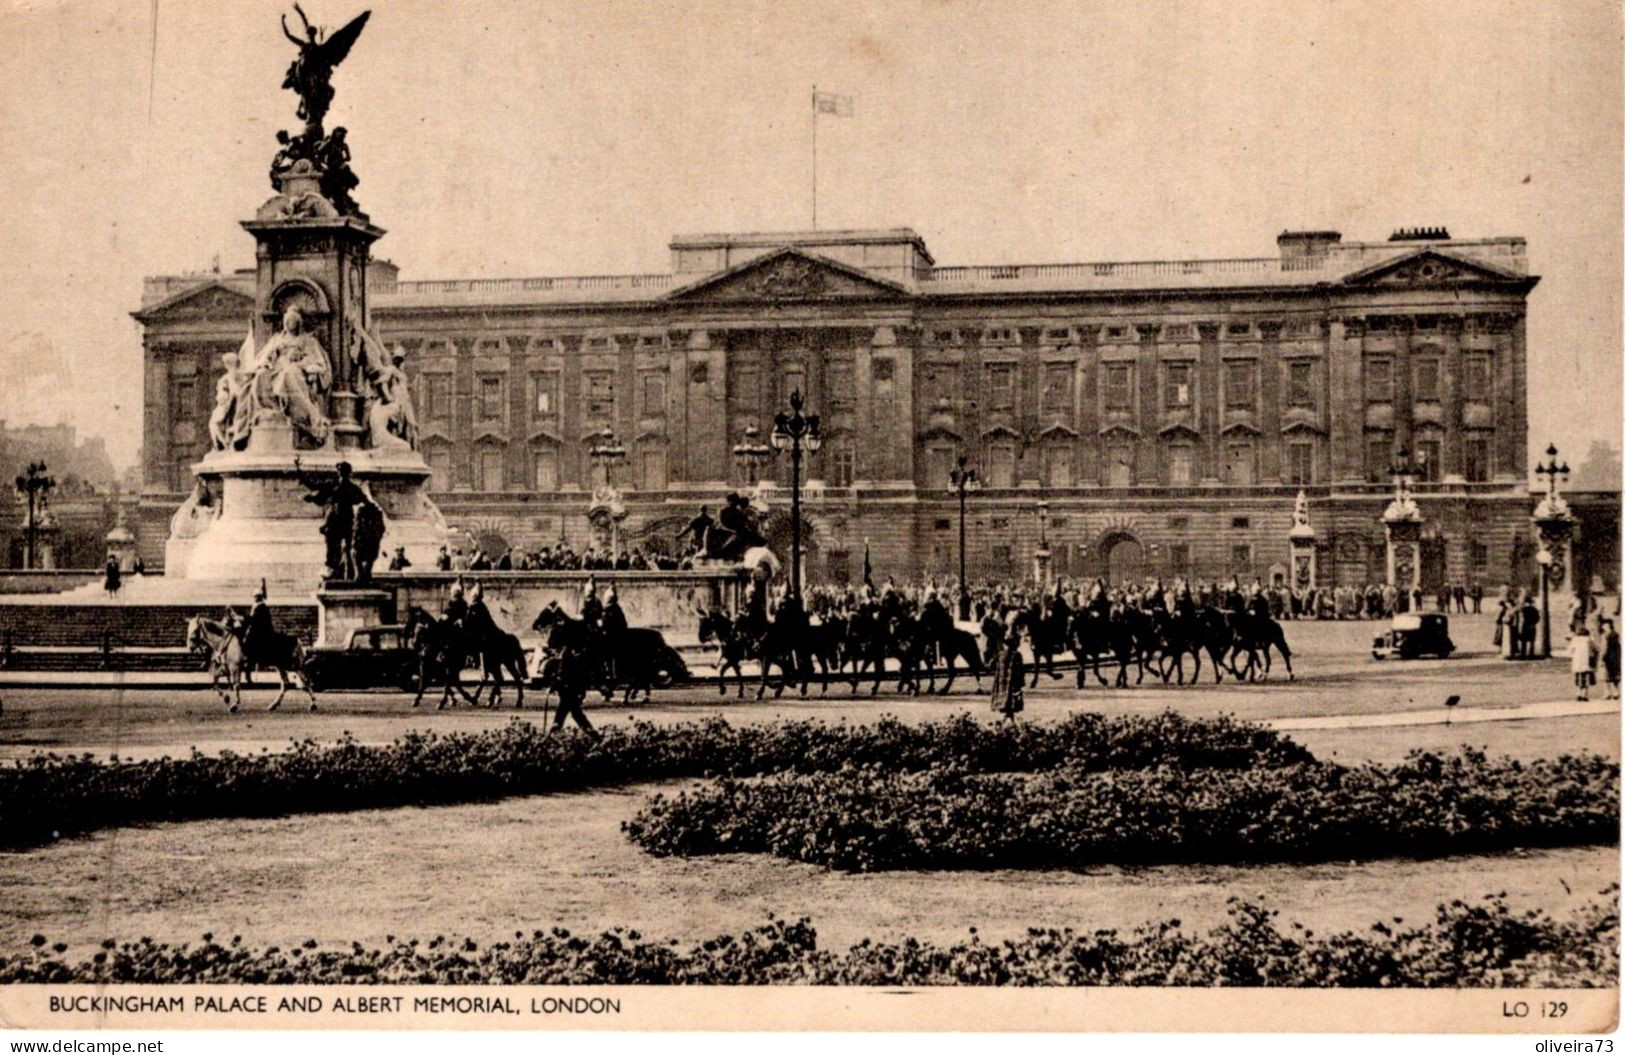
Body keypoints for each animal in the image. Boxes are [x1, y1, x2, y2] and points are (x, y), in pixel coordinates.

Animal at [186, 614, 315, 712]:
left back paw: (313, 704)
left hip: (294, 665)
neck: (226, 641)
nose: (190, 647)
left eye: (195, 630)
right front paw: (226, 698)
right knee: (286, 684)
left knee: (306, 680)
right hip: (281, 667)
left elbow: (236, 685)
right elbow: (215, 680)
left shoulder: (235, 668)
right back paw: (273, 705)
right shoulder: (226, 668)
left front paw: (234, 705)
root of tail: (297, 640)